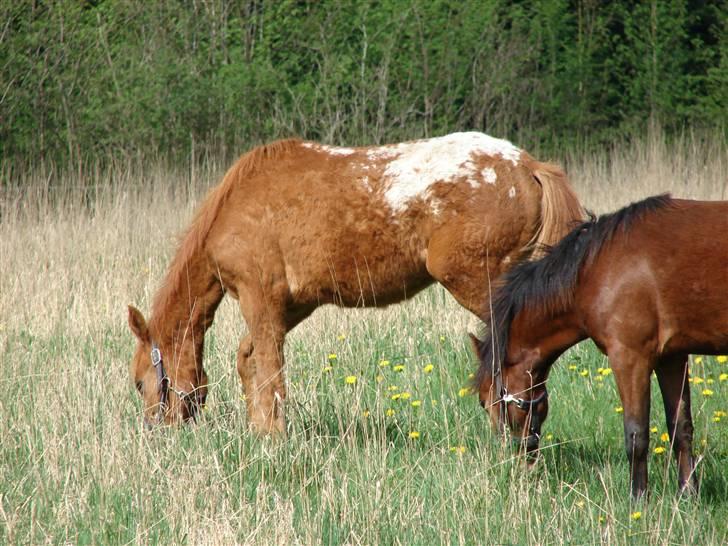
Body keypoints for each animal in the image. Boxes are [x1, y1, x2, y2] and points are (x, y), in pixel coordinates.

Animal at [128, 130, 584, 432]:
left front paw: (274, 440)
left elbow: (272, 375)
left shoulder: (261, 301)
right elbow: (250, 361)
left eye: (139, 383)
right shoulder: (293, 305)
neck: (234, 209)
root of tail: (528, 166)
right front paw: (259, 431)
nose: (156, 432)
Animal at [472, 193, 728, 496]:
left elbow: (636, 433)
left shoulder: (629, 357)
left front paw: (638, 497)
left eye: (485, 401)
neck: (592, 270)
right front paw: (688, 494)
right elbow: (681, 427)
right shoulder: (672, 357)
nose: (519, 461)